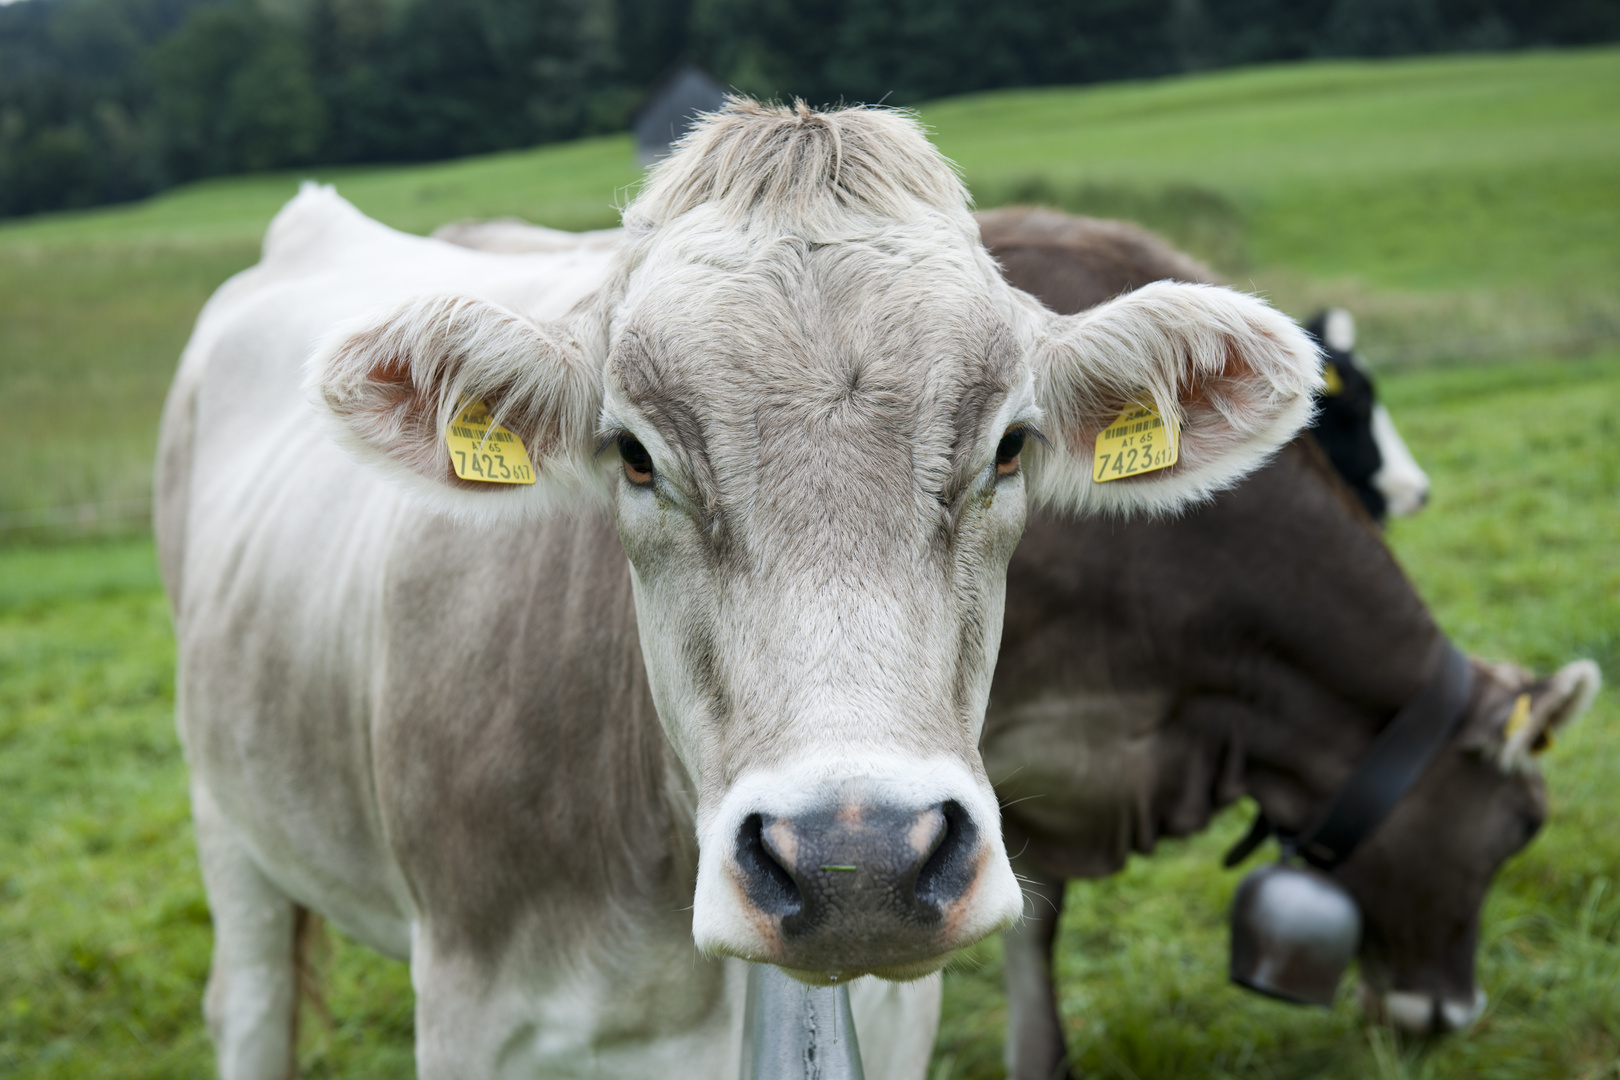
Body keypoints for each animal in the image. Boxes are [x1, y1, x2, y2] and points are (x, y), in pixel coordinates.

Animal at [152, 103, 1321, 1080]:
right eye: (632, 454)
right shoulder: (472, 1011)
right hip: (225, 815)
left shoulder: (900, 1019)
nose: (859, 861)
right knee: (247, 1007)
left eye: (1010, 446)